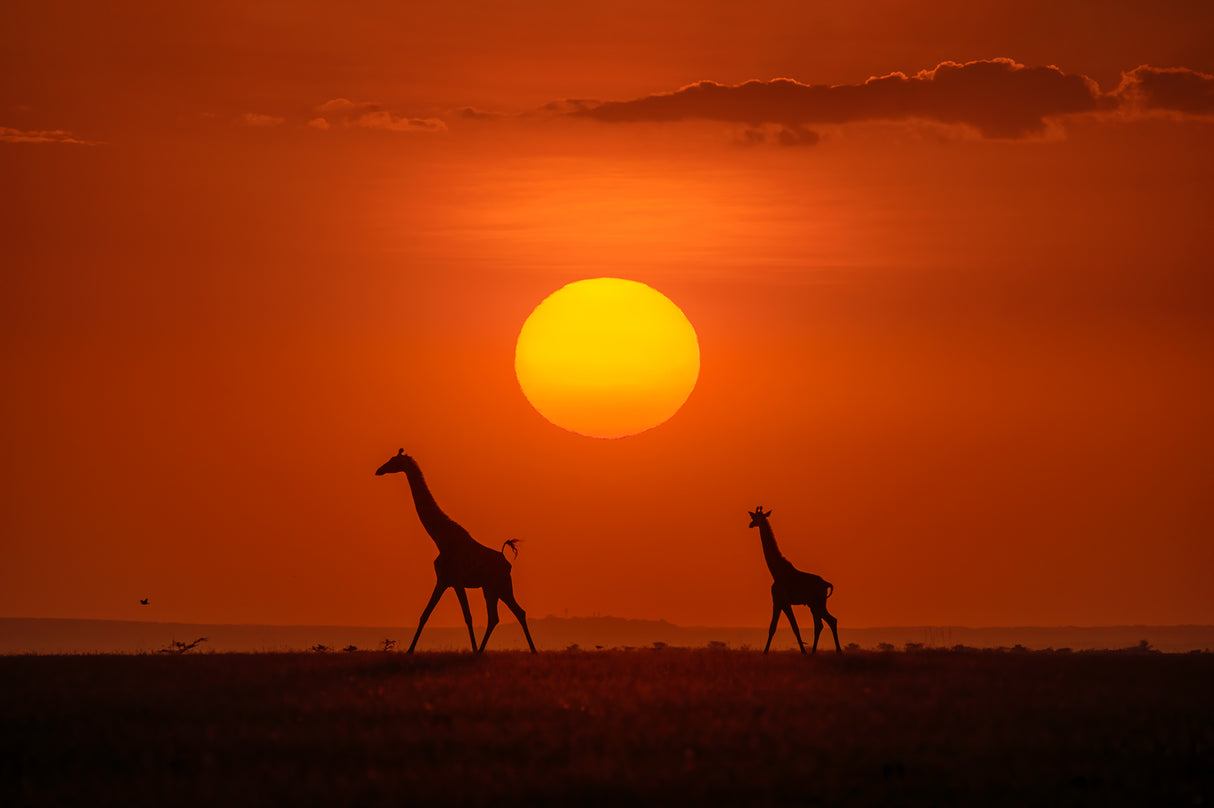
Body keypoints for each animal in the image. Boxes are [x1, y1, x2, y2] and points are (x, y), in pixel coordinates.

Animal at [376, 450, 537, 654]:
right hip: (489, 588)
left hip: (502, 586)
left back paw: (531, 650)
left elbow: (467, 616)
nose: (379, 470)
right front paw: (409, 650)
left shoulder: (457, 581)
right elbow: (425, 614)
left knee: (518, 612)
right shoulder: (443, 581)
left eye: (394, 461)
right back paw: (483, 651)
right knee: (495, 617)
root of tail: (507, 563)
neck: (441, 540)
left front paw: (473, 650)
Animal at [748, 506, 841, 654]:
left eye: (755, 518)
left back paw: (836, 651)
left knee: (830, 621)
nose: (750, 524)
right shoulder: (779, 603)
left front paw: (802, 651)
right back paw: (814, 652)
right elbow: (774, 627)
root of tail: (826, 584)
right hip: (813, 605)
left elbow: (792, 627)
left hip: (818, 603)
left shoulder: (782, 601)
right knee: (822, 624)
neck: (776, 571)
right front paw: (766, 652)